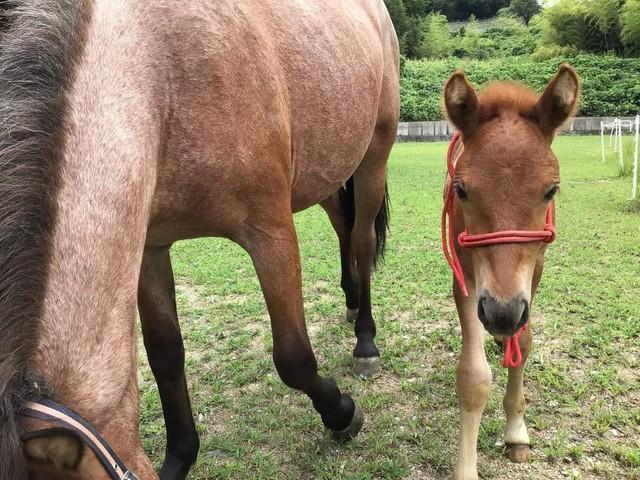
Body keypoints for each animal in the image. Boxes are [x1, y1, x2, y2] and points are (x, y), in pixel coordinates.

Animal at [0, 0, 400, 480]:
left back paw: (365, 340)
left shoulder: (271, 231)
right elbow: (165, 356)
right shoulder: (150, 249)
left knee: (361, 240)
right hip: (327, 168)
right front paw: (180, 456)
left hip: (375, 152)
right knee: (342, 224)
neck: (163, 78)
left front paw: (342, 413)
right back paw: (352, 301)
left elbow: (294, 358)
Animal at [442, 64, 584, 480]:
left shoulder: (534, 268)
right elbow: (474, 377)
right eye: (461, 190)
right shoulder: (466, 276)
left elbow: (525, 341)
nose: (501, 313)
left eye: (551, 190)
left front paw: (517, 433)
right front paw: (466, 469)